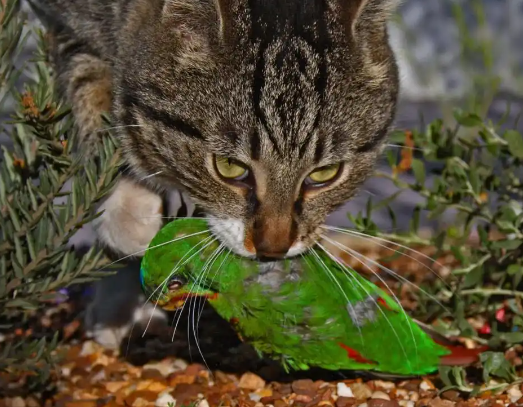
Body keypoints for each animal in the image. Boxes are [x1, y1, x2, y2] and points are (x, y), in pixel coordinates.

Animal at [30, 0, 402, 348]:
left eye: (325, 173)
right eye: (229, 167)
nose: (273, 249)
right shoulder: (66, 21)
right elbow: (96, 110)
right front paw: (134, 219)